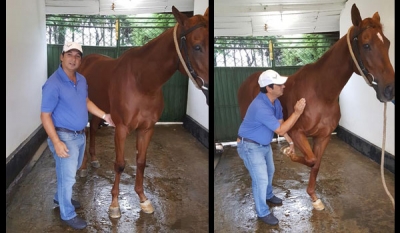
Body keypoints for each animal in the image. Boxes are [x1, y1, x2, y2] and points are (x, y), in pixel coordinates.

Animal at [77, 7, 209, 218]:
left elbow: (140, 161)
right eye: (197, 46)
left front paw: (143, 199)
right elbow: (120, 164)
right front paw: (114, 205)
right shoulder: (121, 128)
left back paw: (94, 160)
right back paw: (82, 167)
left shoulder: (147, 129)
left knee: (94, 129)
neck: (142, 82)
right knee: (85, 133)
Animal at [238, 3, 394, 211]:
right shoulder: (298, 132)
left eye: (388, 43)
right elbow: (311, 160)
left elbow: (316, 164)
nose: (390, 90)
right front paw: (290, 154)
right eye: (366, 45)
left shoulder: (323, 136)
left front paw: (314, 197)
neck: (321, 93)